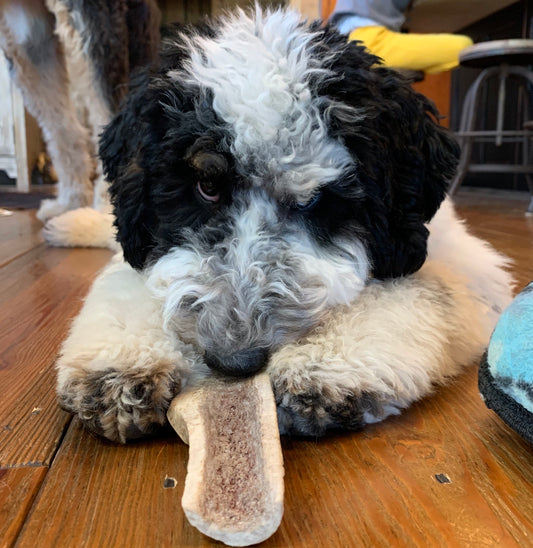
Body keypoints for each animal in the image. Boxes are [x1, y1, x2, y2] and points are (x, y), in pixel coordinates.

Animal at [54, 8, 512, 444]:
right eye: (206, 186)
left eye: (313, 200)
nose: (233, 361)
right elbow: (127, 282)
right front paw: (124, 365)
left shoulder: (464, 264)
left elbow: (419, 292)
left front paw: (325, 366)